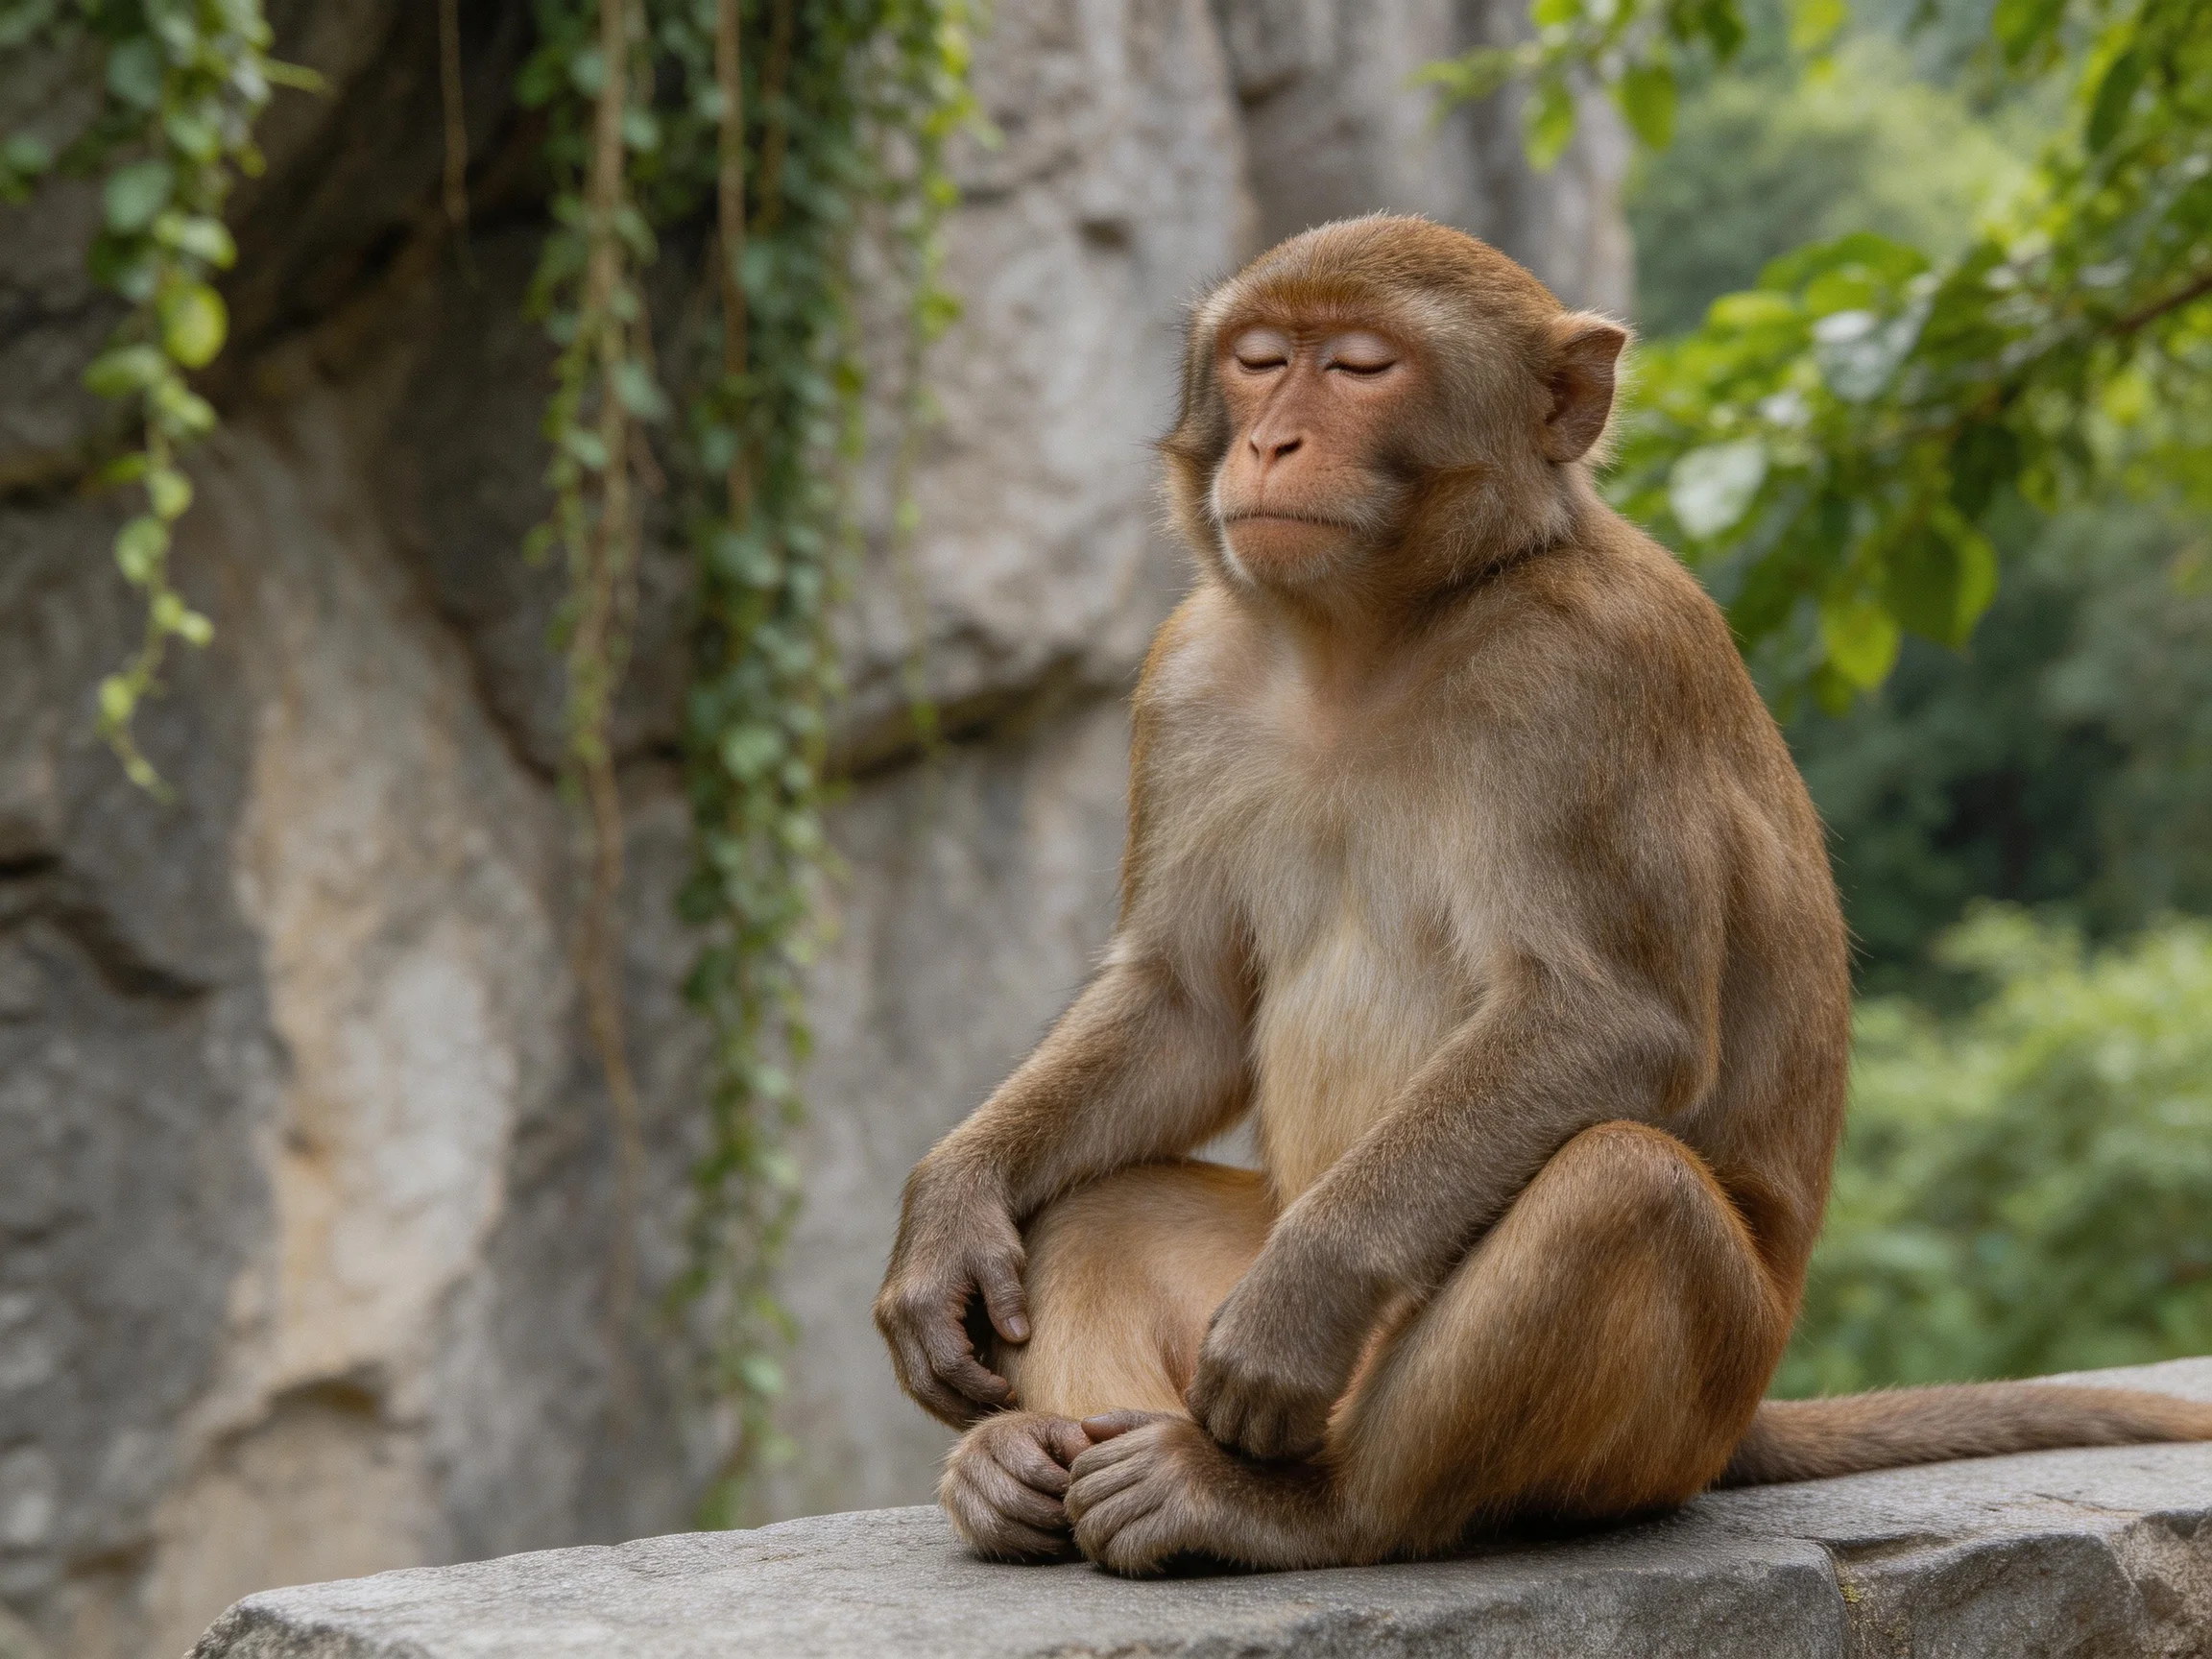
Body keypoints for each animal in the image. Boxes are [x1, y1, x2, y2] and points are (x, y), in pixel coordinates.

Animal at [873, 215, 2212, 1575]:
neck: (1377, 638)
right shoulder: (1188, 675)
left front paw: (1300, 1305)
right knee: (1100, 1211)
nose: (1271, 441)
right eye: (1259, 361)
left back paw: (1294, 1506)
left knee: (1622, 1187)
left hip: (1670, 1409)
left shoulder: (1587, 676)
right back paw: (1028, 1462)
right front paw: (948, 1210)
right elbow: (1183, 1005)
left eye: (1360, 368)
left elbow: (1610, 1017)